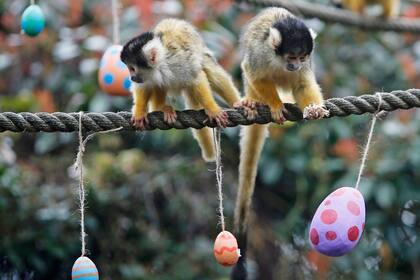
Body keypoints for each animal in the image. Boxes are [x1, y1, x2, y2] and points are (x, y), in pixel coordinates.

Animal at [120, 18, 240, 162]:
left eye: (132, 68)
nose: (132, 77)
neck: (161, 65)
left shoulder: (179, 62)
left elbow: (196, 78)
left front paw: (212, 109)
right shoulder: (146, 76)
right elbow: (144, 86)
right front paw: (139, 112)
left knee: (208, 69)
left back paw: (238, 102)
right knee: (159, 84)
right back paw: (161, 108)